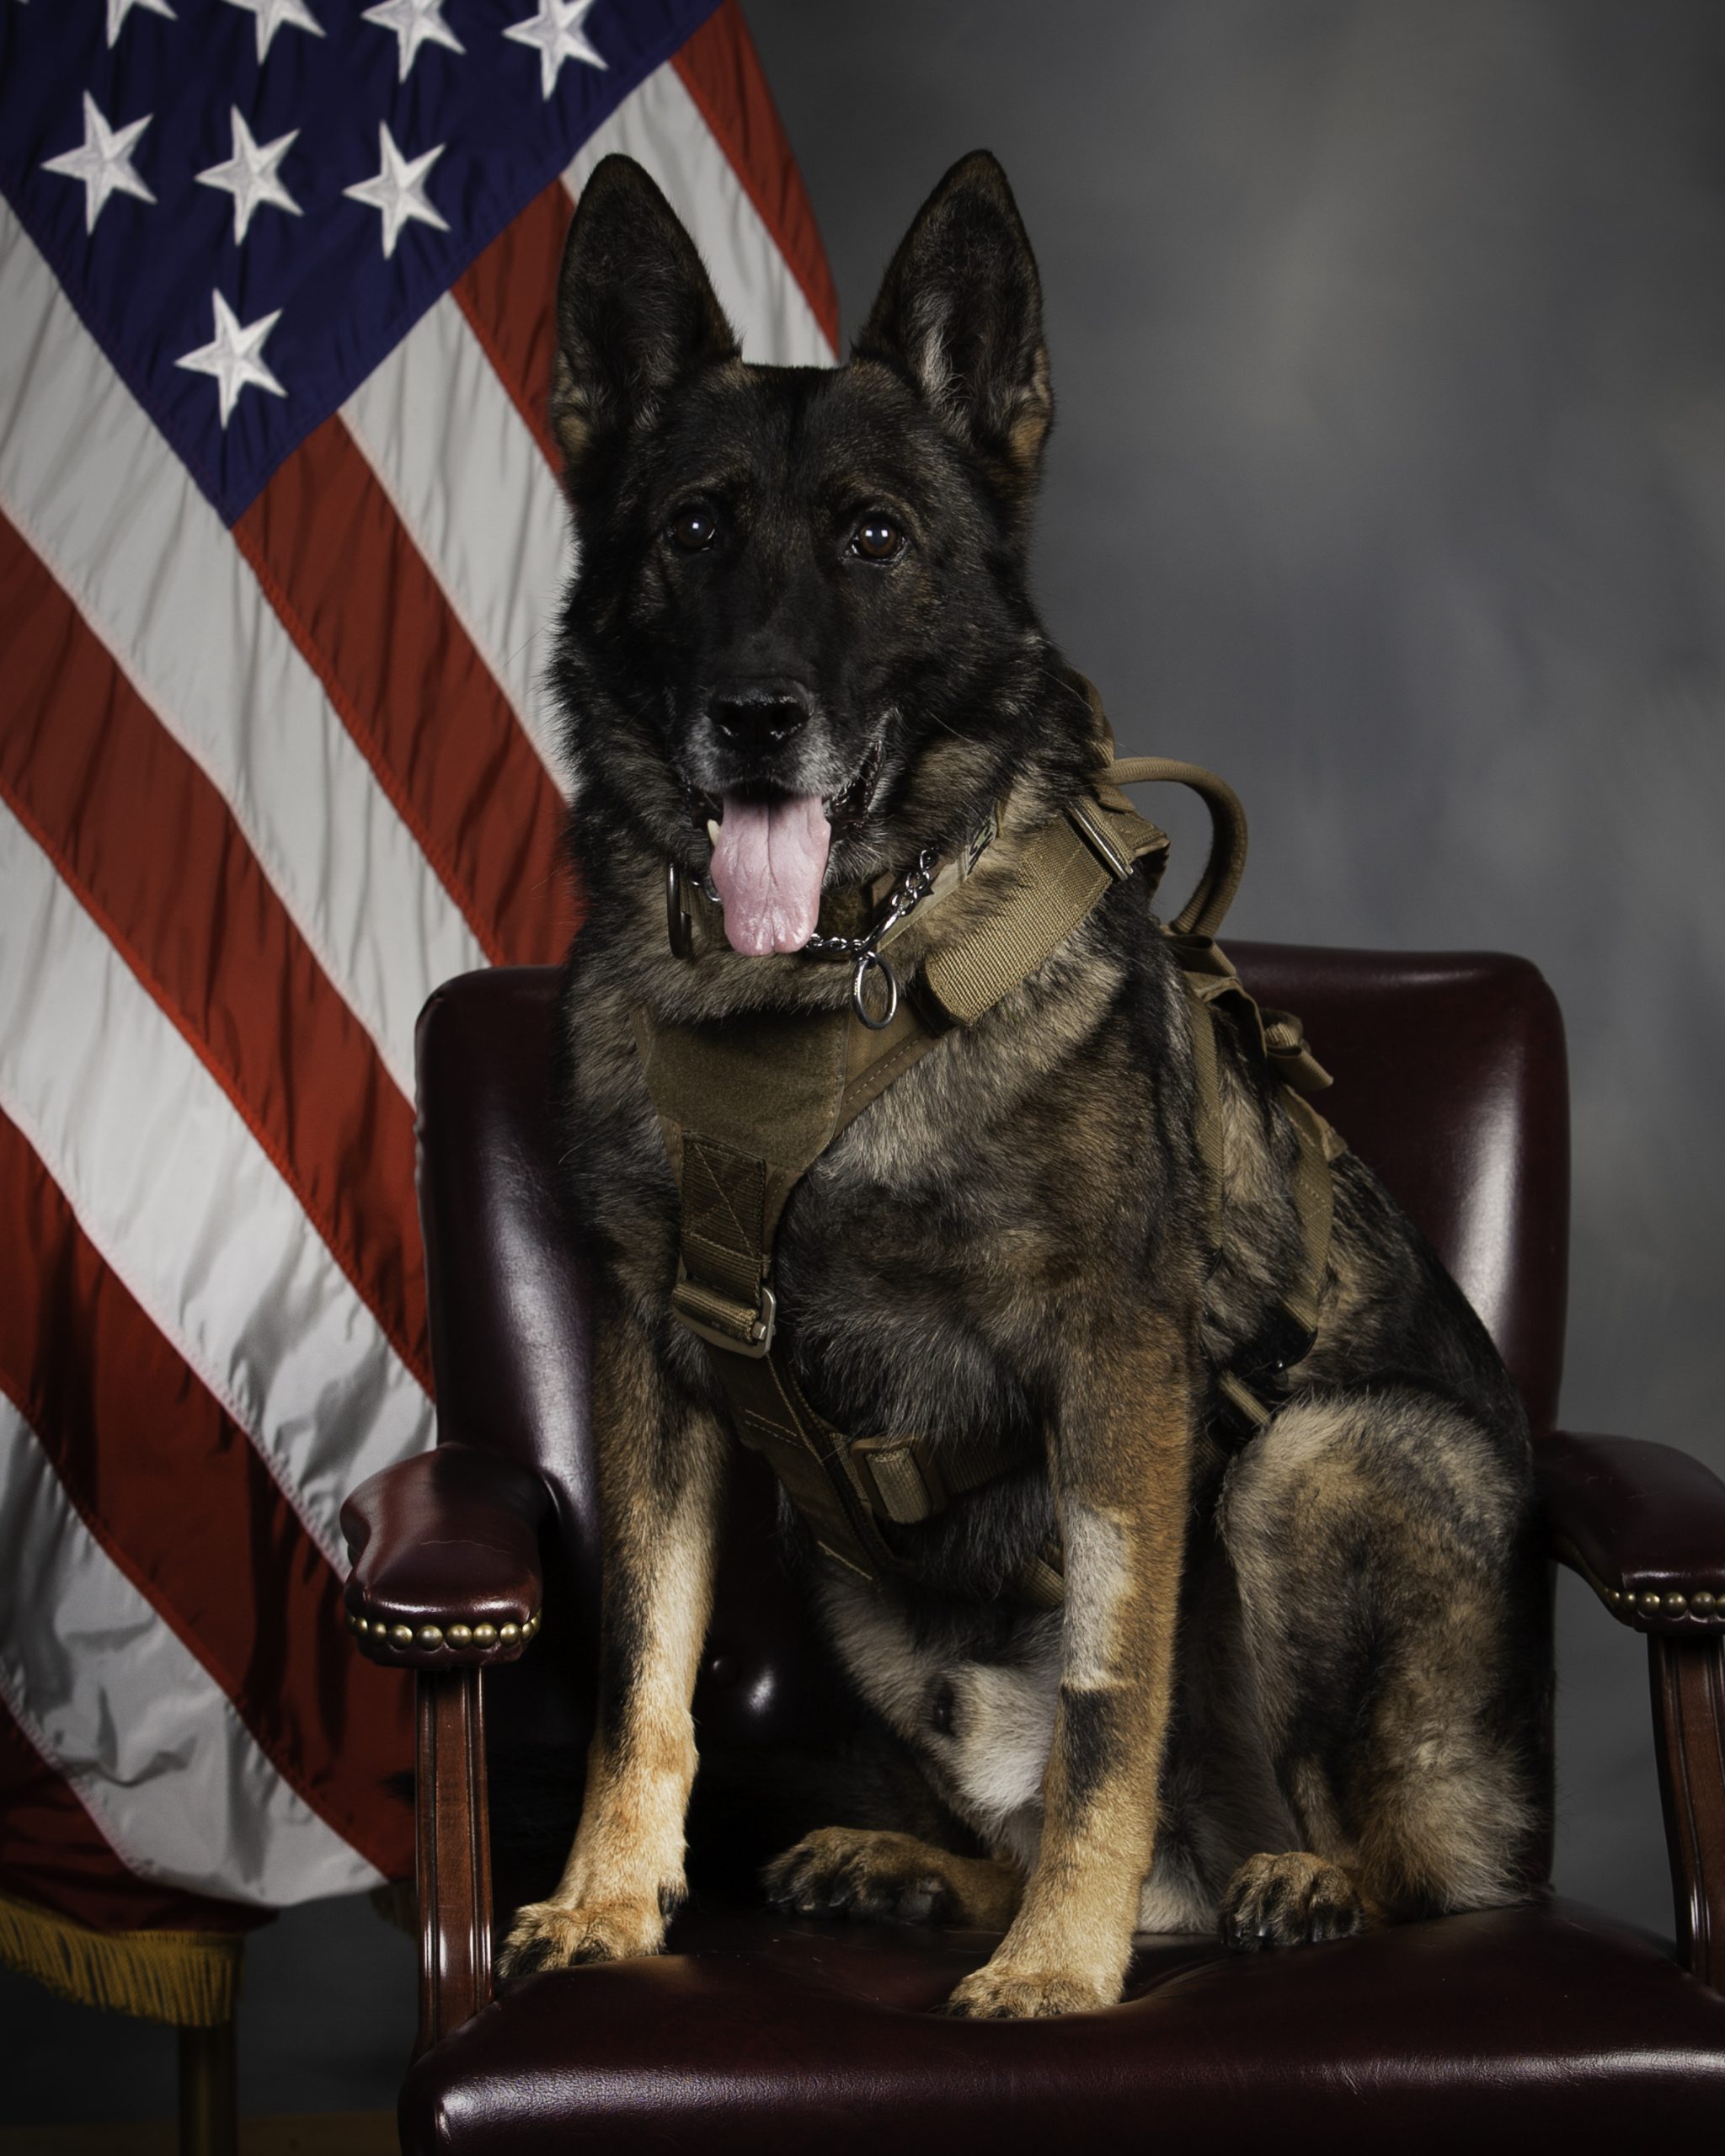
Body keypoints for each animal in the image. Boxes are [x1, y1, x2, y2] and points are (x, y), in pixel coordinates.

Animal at [497, 148, 1551, 2018]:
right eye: (693, 529)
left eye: (873, 538)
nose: (756, 716)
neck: (817, 987)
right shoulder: (649, 1357)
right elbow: (640, 1663)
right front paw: (610, 1901)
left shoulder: (1115, 1357)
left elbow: (1110, 1692)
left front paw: (1060, 1963)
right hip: (852, 1575)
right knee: (1128, 1852)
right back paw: (915, 1865)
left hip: (1316, 1467)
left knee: (1383, 1857)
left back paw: (1285, 1879)